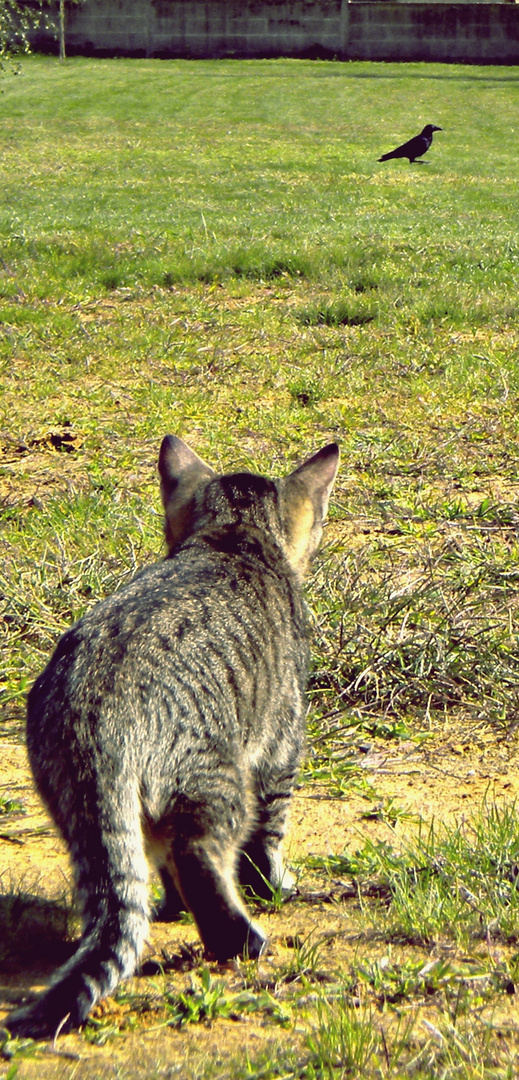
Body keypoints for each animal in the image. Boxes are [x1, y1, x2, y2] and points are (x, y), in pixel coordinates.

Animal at [8, 436, 340, 1036]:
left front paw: (171, 907)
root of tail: (97, 707)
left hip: (83, 805)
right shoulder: (280, 745)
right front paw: (274, 886)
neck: (233, 537)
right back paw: (241, 942)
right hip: (215, 779)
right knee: (198, 853)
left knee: (129, 870)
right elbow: (268, 835)